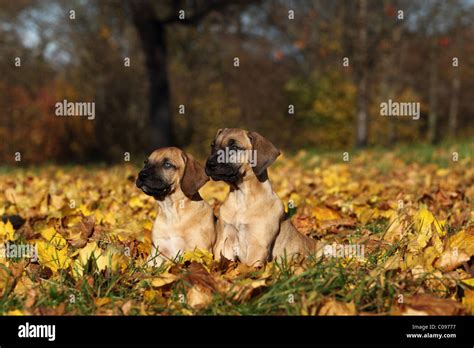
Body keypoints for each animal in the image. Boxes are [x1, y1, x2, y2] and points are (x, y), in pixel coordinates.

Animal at [206, 129, 320, 268]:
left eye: (234, 147)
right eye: (212, 146)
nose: (209, 164)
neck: (241, 196)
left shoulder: (257, 244)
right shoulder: (225, 239)